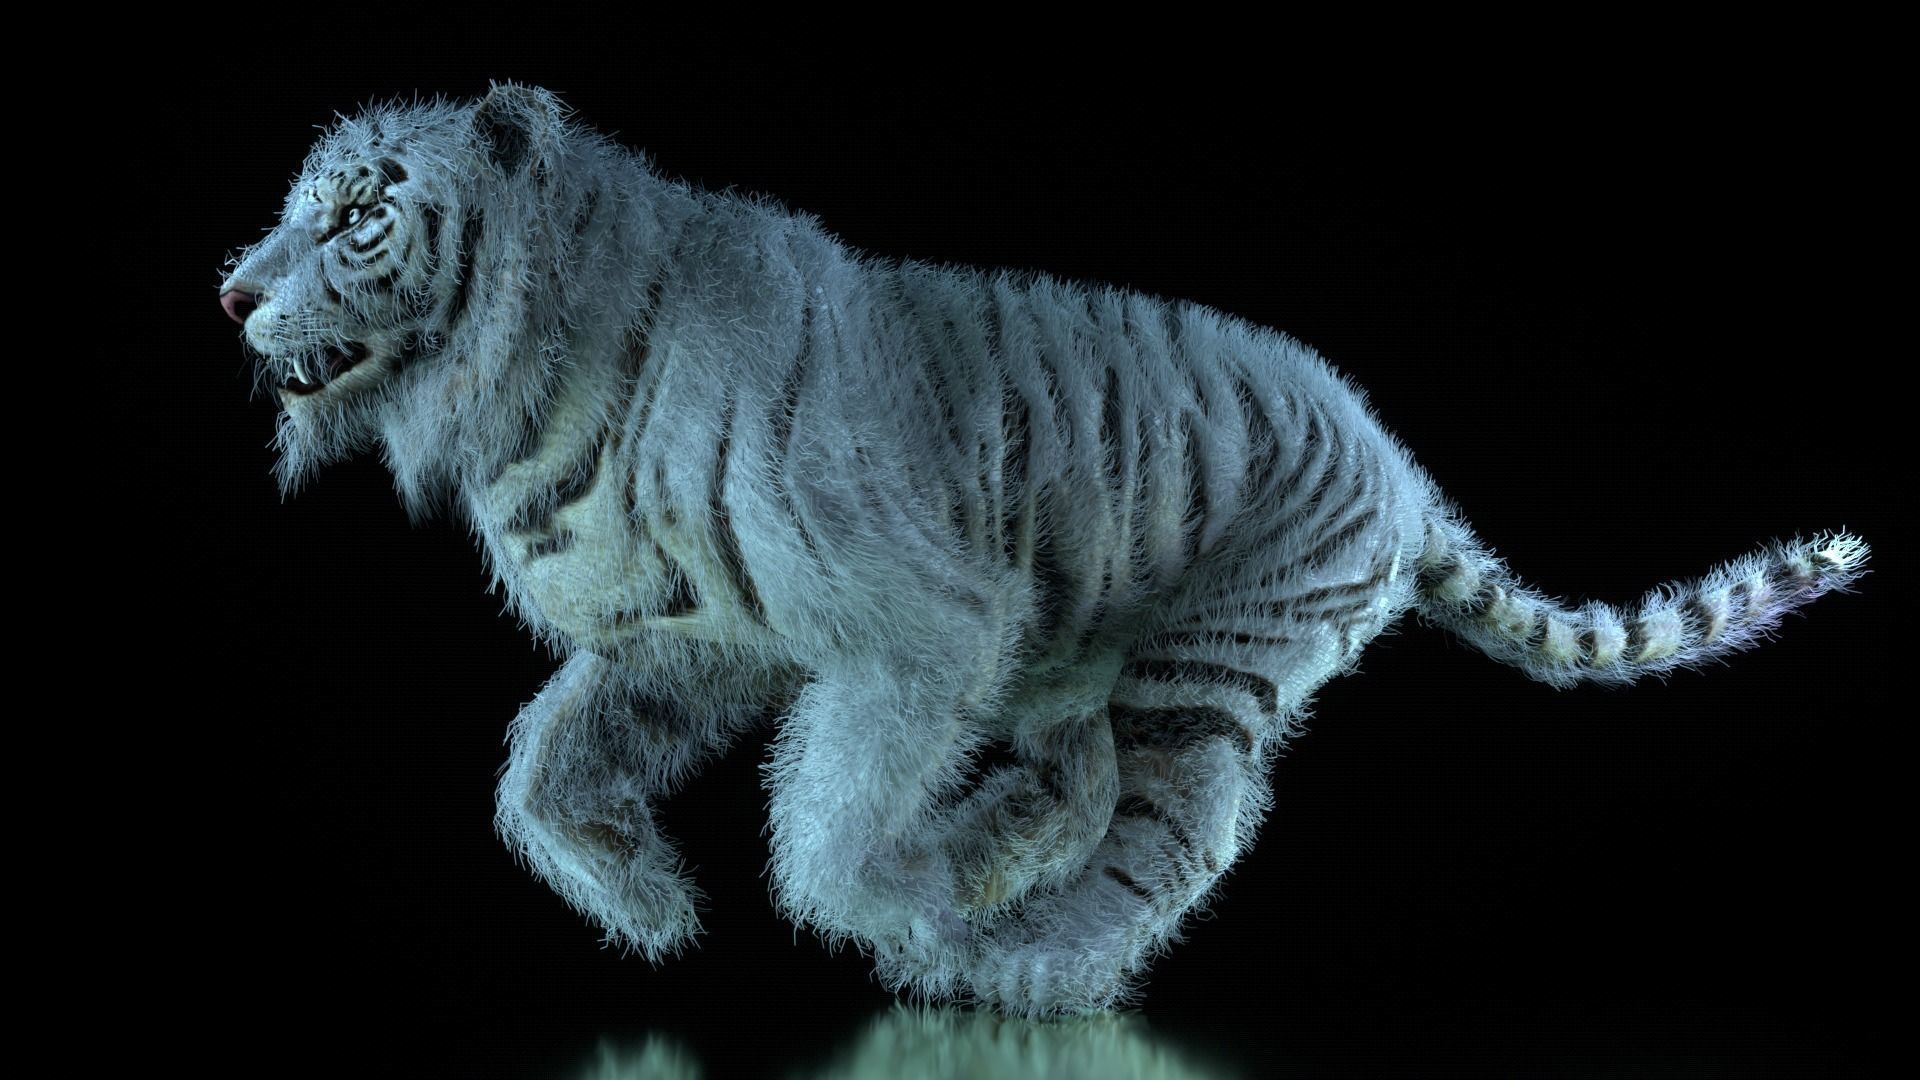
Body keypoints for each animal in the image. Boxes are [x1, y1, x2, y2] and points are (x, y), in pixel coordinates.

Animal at [220, 84, 1870, 1018]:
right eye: (295, 207)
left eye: (358, 216)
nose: (231, 291)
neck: (531, 375)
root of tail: (1401, 465)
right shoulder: (695, 635)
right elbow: (547, 759)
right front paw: (647, 905)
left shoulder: (916, 630)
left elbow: (823, 820)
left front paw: (880, 906)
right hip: (1084, 667)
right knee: (1070, 787)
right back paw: (977, 885)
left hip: (1209, 664)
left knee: (1179, 827)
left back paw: (1031, 961)